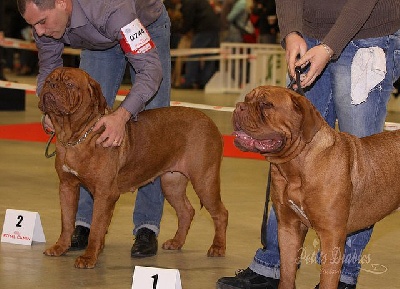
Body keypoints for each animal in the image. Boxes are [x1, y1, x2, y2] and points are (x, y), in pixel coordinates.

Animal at [233, 85, 400, 288]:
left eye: (266, 104)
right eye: (247, 99)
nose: (239, 106)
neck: (295, 168)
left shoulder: (332, 235)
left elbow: (328, 279)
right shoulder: (288, 228)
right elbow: (287, 272)